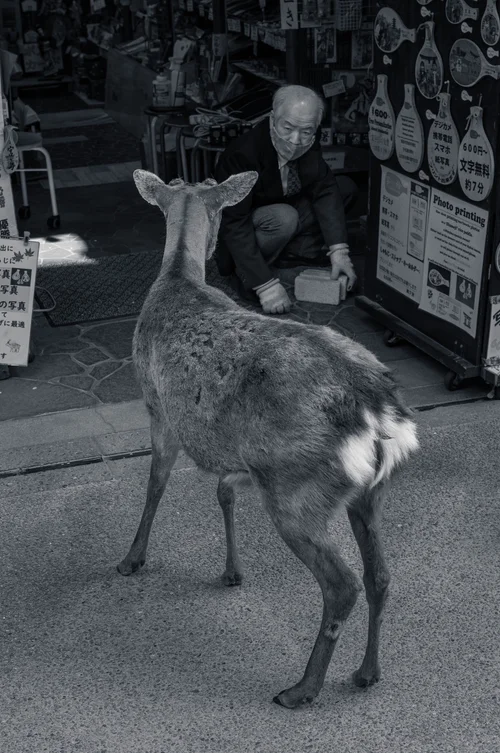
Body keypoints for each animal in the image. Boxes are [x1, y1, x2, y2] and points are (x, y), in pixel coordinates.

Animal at [117, 169, 419, 709]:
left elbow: (155, 485)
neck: (177, 279)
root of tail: (378, 410)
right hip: (366, 490)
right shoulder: (242, 457)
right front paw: (232, 572)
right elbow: (222, 491)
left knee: (342, 584)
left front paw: (133, 559)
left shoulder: (157, 406)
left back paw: (302, 689)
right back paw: (367, 672)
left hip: (297, 489)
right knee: (380, 575)